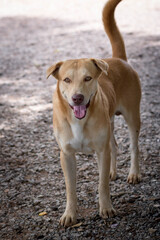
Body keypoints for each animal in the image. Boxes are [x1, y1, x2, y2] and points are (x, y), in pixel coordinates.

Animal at [46, 0, 141, 227]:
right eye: (67, 80)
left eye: (88, 78)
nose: (77, 98)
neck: (78, 120)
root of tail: (118, 58)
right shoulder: (66, 154)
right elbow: (70, 188)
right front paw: (70, 214)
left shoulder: (100, 150)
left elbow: (102, 183)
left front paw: (106, 208)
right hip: (110, 123)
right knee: (114, 145)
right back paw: (114, 171)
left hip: (133, 116)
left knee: (133, 146)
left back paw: (133, 173)